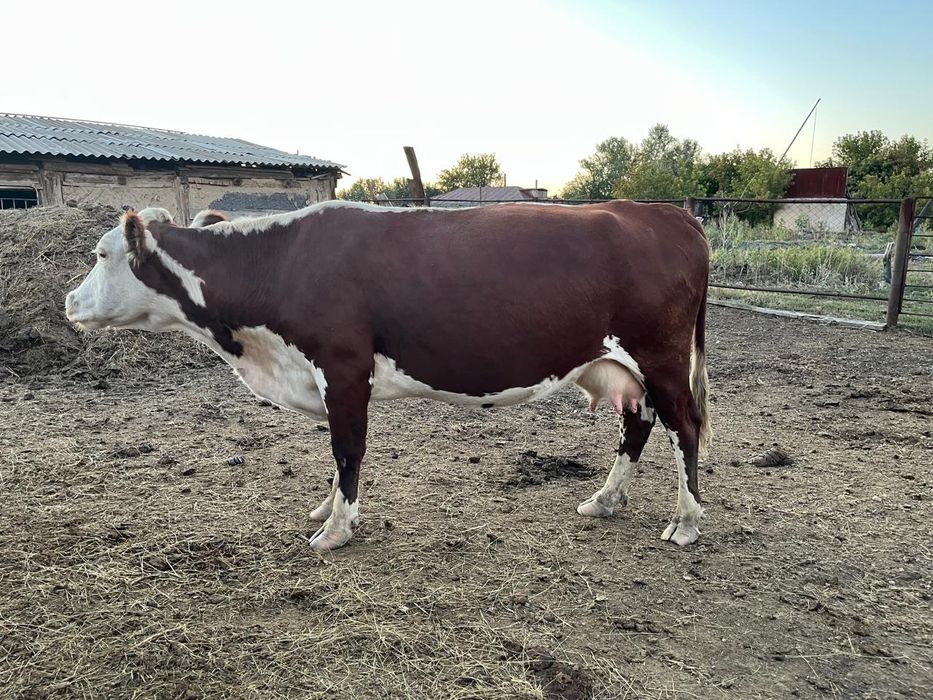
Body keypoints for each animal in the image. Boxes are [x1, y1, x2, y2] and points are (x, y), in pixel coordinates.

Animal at [65, 200, 711, 551]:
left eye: (100, 254)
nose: (68, 301)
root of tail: (663, 212)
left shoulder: (344, 366)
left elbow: (347, 447)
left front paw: (336, 528)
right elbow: (335, 449)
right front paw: (326, 508)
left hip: (661, 357)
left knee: (683, 427)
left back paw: (685, 521)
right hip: (626, 365)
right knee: (639, 424)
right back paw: (604, 500)